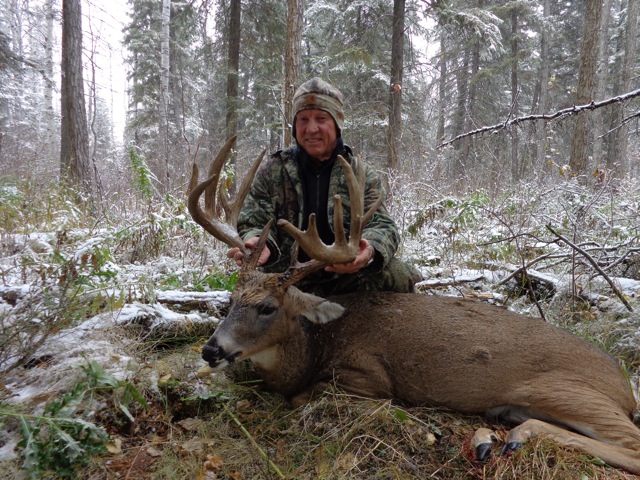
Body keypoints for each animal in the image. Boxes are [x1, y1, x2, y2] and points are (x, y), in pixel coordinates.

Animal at [188, 137, 640, 475]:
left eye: (267, 308)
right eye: (230, 300)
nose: (211, 350)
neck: (313, 346)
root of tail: (626, 389)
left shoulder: (368, 377)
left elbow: (305, 397)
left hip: (569, 391)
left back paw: (516, 436)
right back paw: (500, 437)